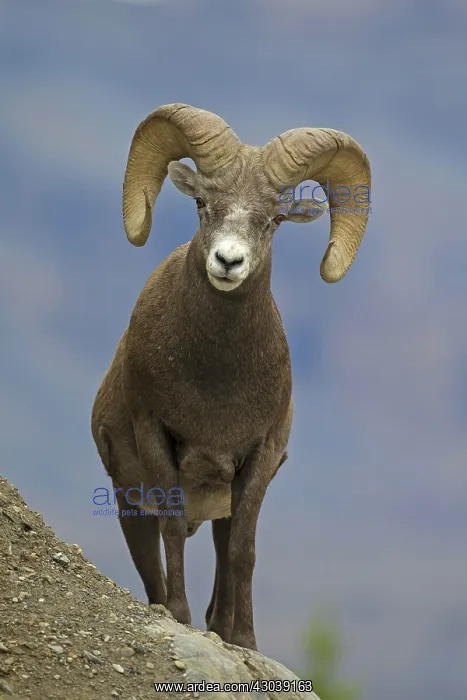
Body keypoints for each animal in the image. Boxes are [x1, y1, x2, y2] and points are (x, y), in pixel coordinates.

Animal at [91, 103, 371, 651]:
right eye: (203, 203)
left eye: (275, 219)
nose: (227, 261)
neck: (215, 385)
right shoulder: (156, 436)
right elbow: (173, 528)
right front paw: (180, 618)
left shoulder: (258, 456)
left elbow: (243, 549)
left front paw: (243, 639)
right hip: (129, 502)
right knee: (150, 558)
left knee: (224, 549)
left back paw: (221, 625)